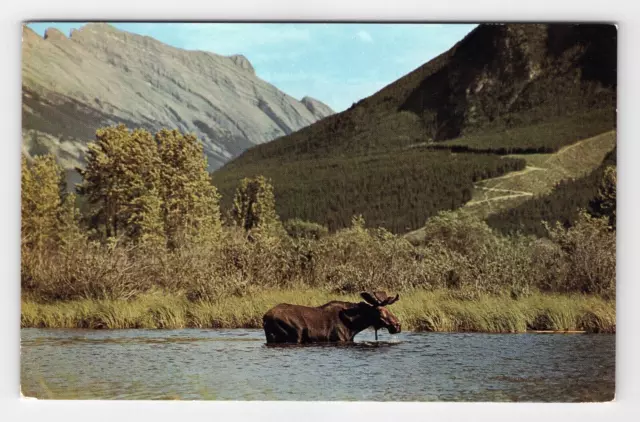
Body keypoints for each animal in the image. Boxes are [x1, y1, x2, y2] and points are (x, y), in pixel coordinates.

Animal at [260, 292, 400, 344]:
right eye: (380, 310)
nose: (397, 325)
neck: (354, 326)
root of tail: (265, 318)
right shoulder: (339, 338)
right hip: (296, 334)